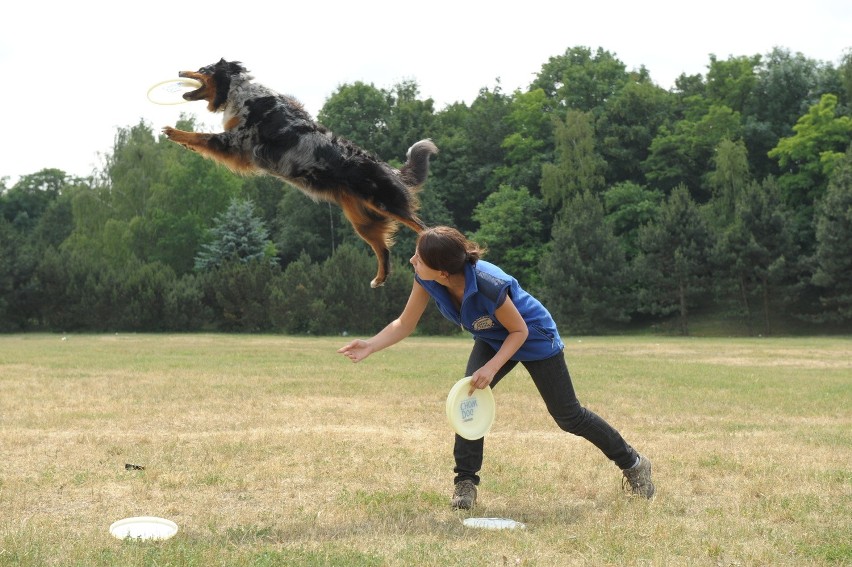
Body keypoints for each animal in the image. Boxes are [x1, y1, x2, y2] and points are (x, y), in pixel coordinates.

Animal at [161, 59, 440, 286]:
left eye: (202, 69)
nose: (178, 70)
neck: (239, 92)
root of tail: (388, 168)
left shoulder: (236, 142)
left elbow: (200, 136)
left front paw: (173, 132)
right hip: (363, 221)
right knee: (384, 249)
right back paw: (379, 279)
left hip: (384, 203)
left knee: (422, 227)